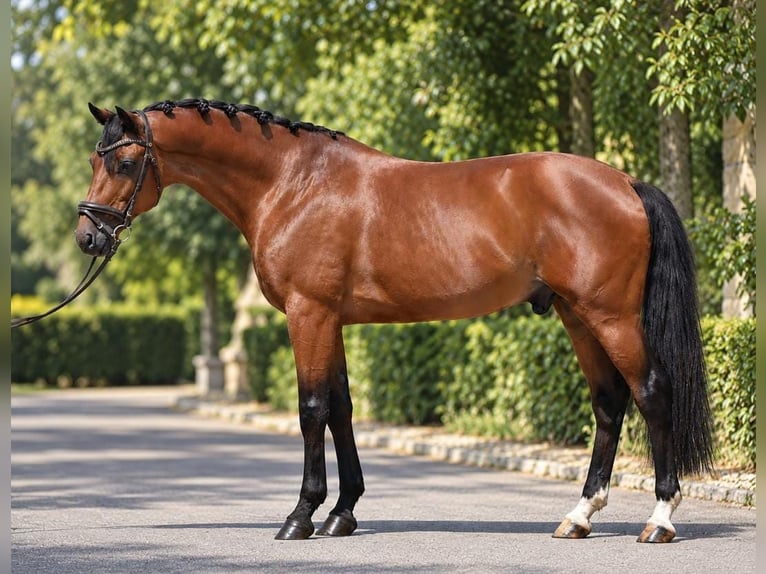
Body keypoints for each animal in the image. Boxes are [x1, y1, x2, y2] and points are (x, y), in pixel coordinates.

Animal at [76, 98, 713, 543]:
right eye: (93, 160)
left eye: (126, 162)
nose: (88, 236)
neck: (292, 183)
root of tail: (625, 182)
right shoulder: (329, 320)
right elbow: (340, 407)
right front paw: (342, 513)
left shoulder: (309, 313)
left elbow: (311, 409)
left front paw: (301, 516)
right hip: (577, 316)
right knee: (609, 403)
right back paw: (578, 516)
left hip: (611, 316)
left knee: (652, 393)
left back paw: (659, 520)